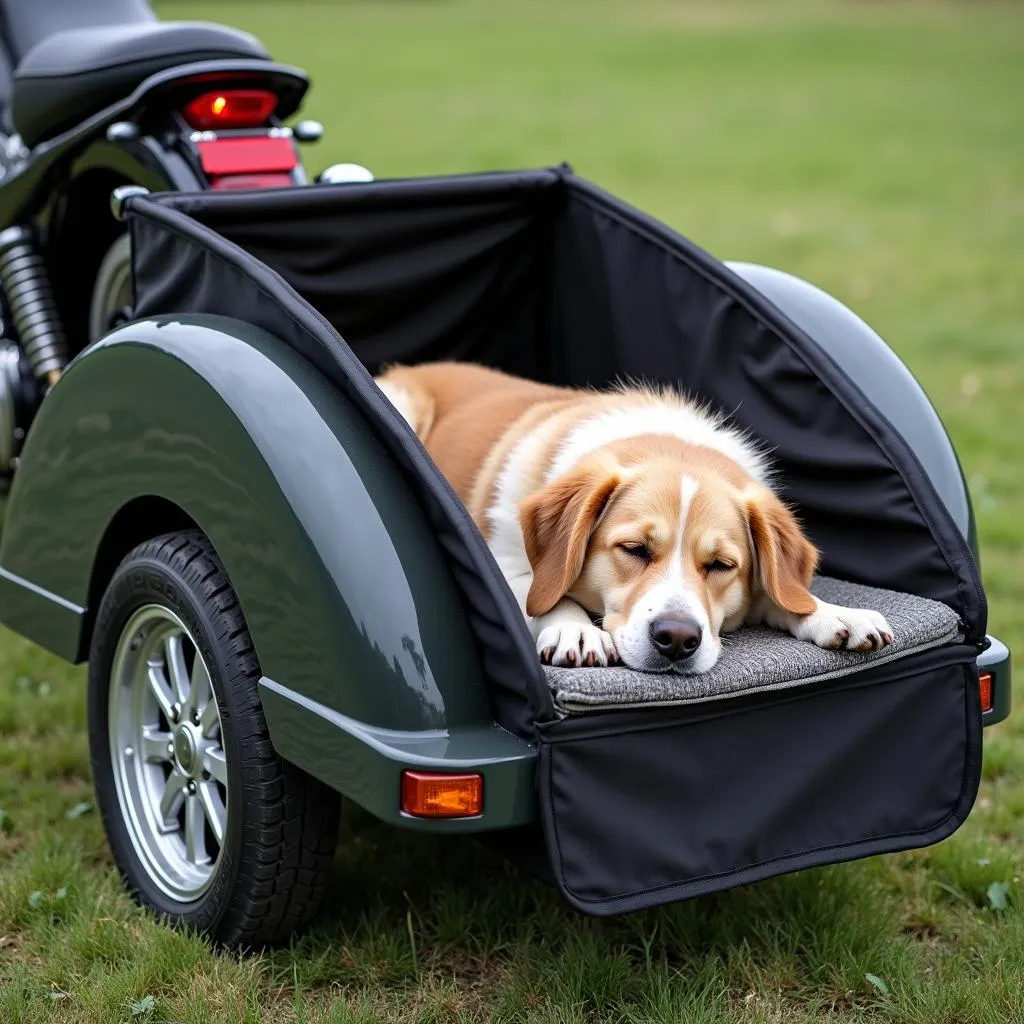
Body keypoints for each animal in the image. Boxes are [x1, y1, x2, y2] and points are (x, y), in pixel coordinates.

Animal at [374, 364, 888, 675]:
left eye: (721, 566)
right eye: (634, 550)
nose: (677, 639)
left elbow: (782, 594)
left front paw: (832, 611)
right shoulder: (499, 567)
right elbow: (544, 594)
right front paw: (577, 628)